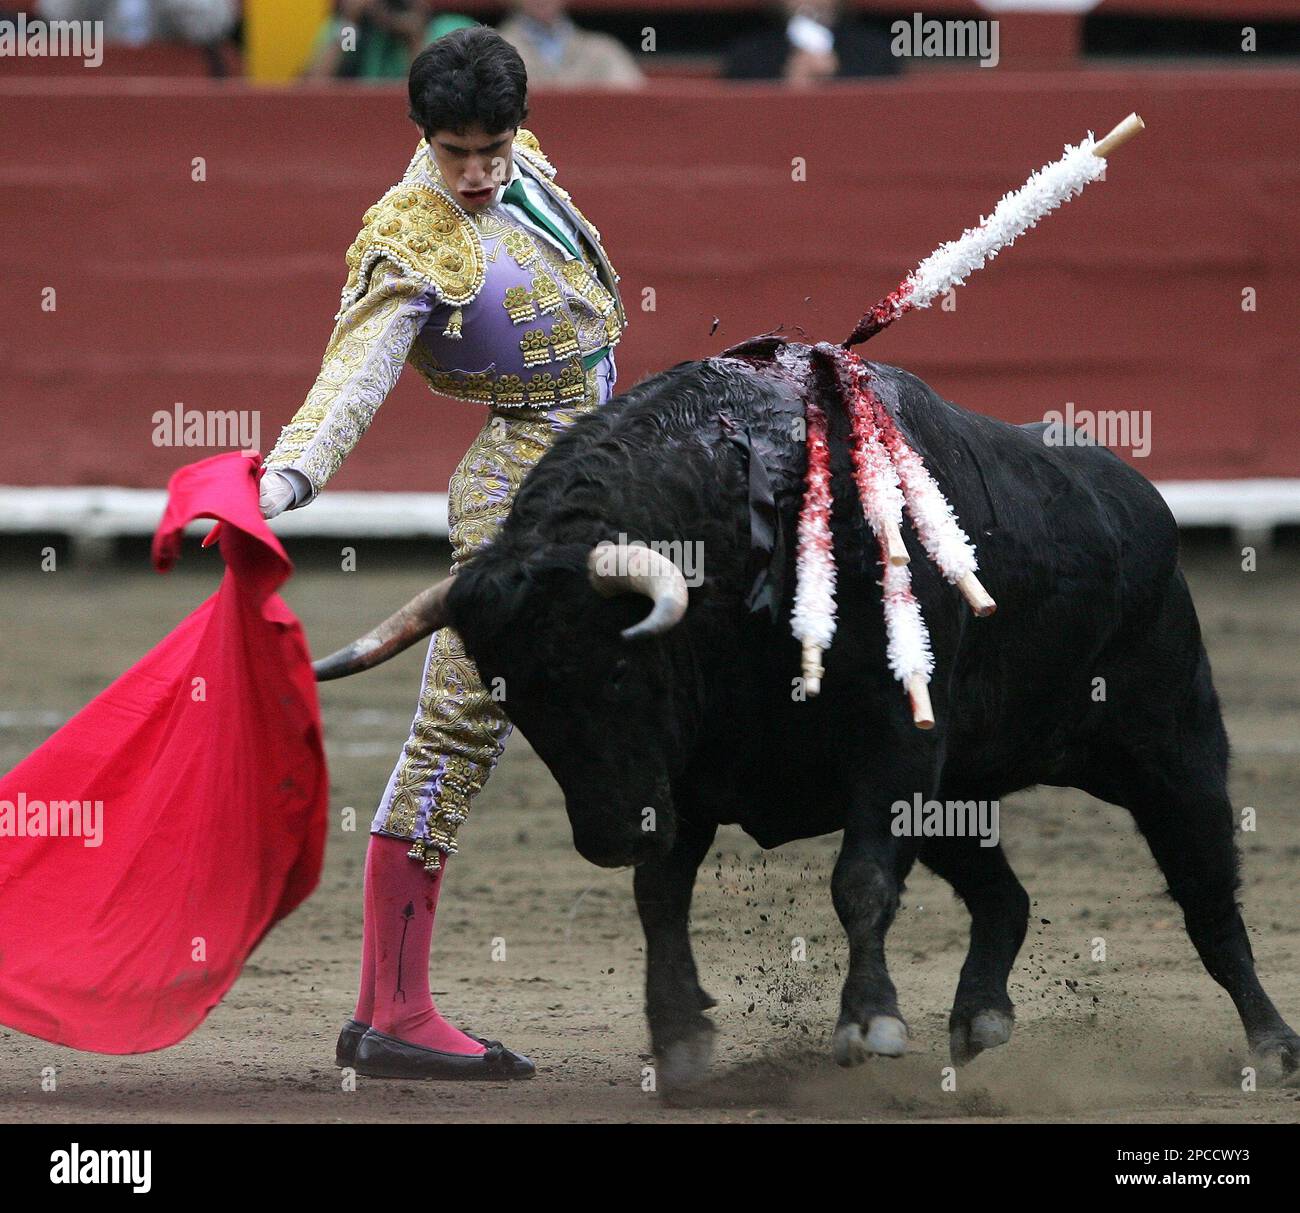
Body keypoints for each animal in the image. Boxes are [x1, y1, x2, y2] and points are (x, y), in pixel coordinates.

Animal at [314, 340, 1300, 1086]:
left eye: (616, 670)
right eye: (511, 692)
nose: (608, 835)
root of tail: (1135, 494)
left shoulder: (891, 743)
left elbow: (857, 881)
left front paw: (868, 1024)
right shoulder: (694, 776)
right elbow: (660, 894)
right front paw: (680, 1039)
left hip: (1171, 745)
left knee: (1207, 896)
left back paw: (1271, 1042)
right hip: (955, 792)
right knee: (1007, 897)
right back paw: (980, 1018)